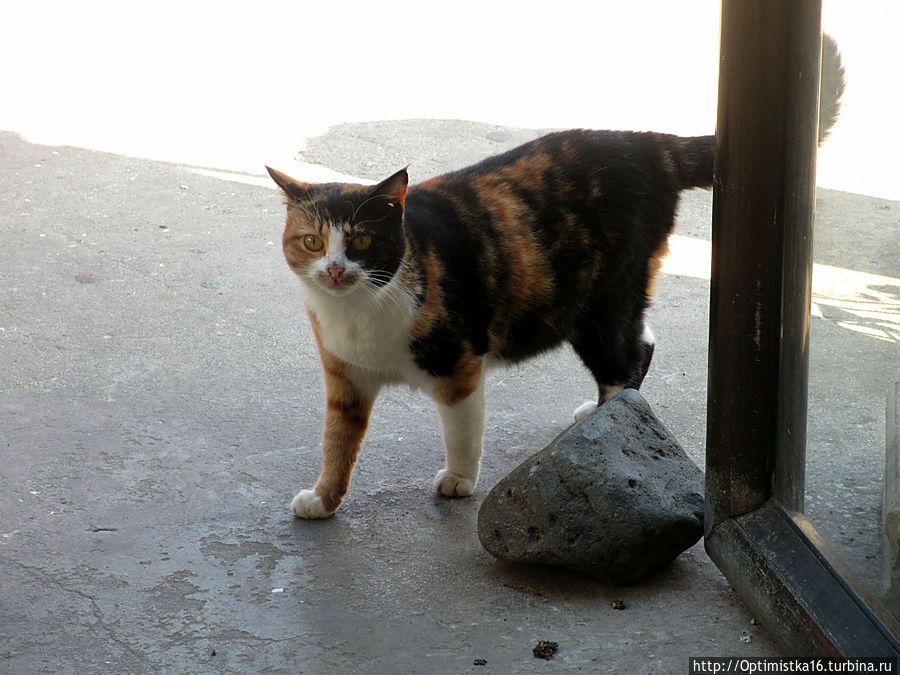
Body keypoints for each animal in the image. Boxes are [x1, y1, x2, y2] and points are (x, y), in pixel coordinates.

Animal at [264, 129, 712, 516]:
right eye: (312, 242)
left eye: (361, 240)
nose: (335, 270)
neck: (359, 311)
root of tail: (645, 143)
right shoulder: (345, 376)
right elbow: (336, 440)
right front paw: (323, 499)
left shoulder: (458, 367)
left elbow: (461, 431)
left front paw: (459, 479)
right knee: (643, 341)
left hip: (601, 304)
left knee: (623, 355)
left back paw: (611, 419)